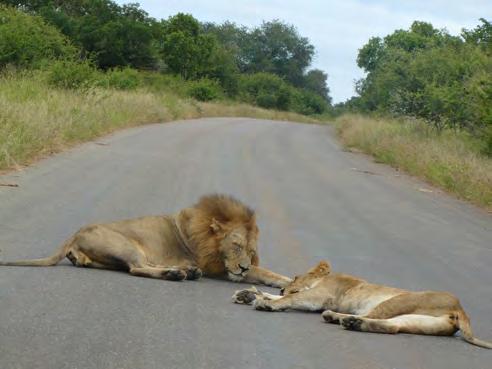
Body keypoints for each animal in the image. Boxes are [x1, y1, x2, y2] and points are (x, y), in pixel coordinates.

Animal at [0, 194, 292, 286]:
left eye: (251, 250)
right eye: (236, 246)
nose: (242, 266)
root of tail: (75, 233)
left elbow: (264, 271)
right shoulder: (217, 268)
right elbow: (263, 272)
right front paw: (289, 282)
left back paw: (184, 271)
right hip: (127, 245)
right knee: (137, 268)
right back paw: (178, 274)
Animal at [232, 258, 492, 348]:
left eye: (295, 276)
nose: (283, 286)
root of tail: (461, 310)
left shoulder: (319, 297)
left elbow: (290, 298)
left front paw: (265, 302)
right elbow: (278, 296)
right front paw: (248, 295)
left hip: (399, 301)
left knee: (375, 317)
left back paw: (342, 319)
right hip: (417, 320)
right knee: (392, 327)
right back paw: (346, 321)